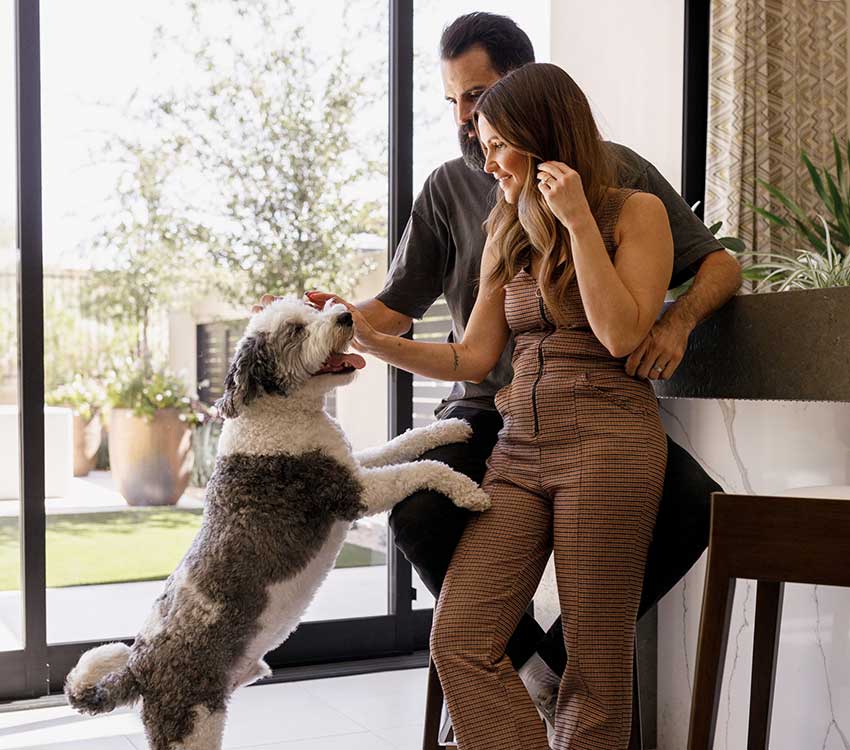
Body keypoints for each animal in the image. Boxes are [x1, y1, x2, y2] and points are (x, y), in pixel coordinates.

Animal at [64, 300, 490, 750]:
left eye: (312, 309)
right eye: (295, 331)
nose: (345, 316)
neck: (277, 413)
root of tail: (138, 669)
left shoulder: (351, 463)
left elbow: (399, 444)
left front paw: (449, 427)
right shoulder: (352, 492)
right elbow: (420, 469)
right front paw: (467, 490)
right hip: (193, 724)